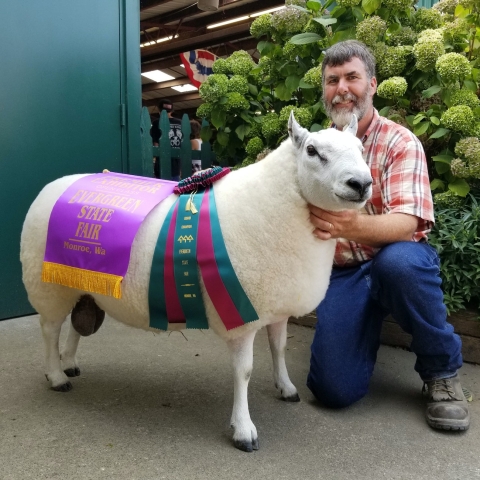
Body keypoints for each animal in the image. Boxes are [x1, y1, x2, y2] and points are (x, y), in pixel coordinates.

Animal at [20, 114, 374, 452]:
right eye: (312, 151)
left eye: (360, 148)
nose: (361, 184)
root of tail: (52, 186)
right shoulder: (241, 316)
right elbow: (244, 371)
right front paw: (243, 430)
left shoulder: (277, 307)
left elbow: (279, 348)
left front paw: (285, 387)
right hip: (48, 286)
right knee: (50, 330)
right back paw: (56, 376)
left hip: (80, 283)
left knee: (74, 325)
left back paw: (69, 363)